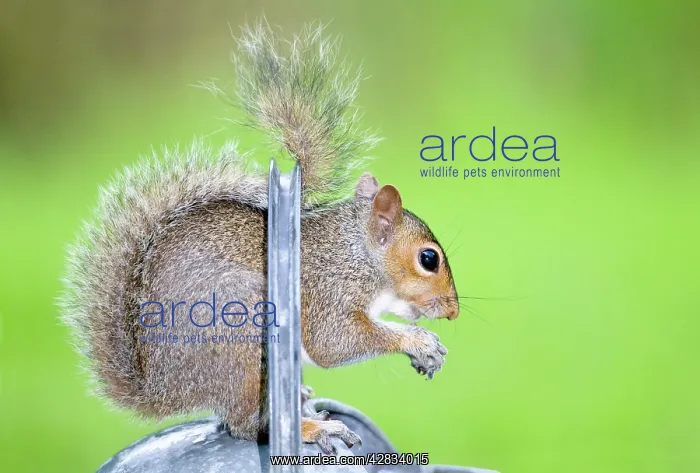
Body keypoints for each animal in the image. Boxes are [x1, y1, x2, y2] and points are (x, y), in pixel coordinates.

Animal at [60, 22, 460, 455]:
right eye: (428, 259)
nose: (453, 311)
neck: (355, 252)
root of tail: (165, 389)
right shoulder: (328, 292)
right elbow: (337, 343)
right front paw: (420, 342)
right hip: (241, 334)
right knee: (242, 425)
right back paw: (312, 429)